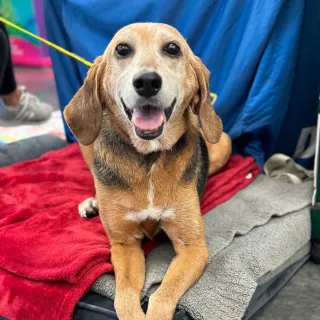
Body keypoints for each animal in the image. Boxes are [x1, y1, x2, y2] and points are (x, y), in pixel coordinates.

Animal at [63, 23, 231, 320]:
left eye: (173, 48)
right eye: (122, 49)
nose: (147, 82)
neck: (149, 158)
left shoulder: (194, 247)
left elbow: (162, 295)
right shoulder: (124, 245)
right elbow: (124, 299)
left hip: (223, 142)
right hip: (87, 144)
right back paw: (92, 202)